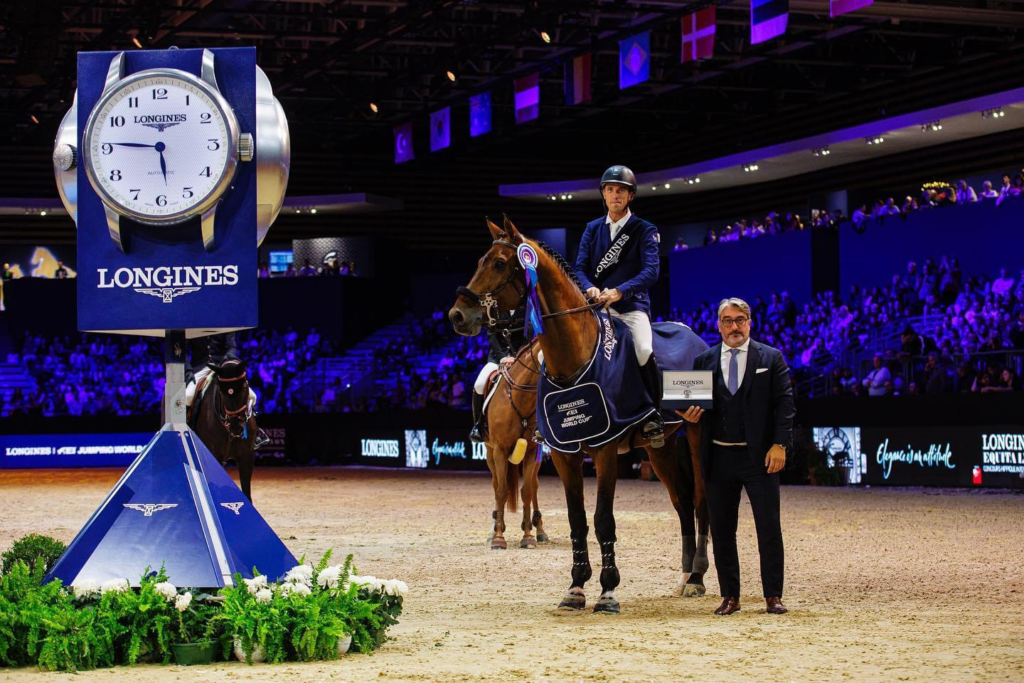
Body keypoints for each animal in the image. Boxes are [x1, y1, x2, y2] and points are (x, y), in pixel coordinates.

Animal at [452, 218, 708, 614]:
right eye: (480, 260)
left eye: (498, 263)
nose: (458, 315)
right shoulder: (562, 453)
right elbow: (576, 519)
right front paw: (575, 588)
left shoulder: (604, 451)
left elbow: (603, 519)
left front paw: (608, 591)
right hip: (660, 448)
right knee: (681, 501)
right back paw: (683, 577)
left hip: (695, 434)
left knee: (699, 501)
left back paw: (696, 578)